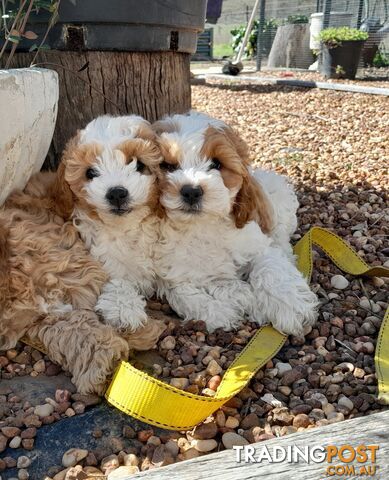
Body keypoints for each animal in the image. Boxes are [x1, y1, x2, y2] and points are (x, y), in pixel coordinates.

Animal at [54, 116, 162, 334]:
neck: (126, 227)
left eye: (138, 165)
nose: (117, 193)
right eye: (90, 172)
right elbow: (118, 278)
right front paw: (124, 308)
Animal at [152, 111, 318, 336]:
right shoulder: (171, 271)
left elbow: (269, 266)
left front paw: (290, 305)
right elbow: (183, 291)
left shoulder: (256, 243)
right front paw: (220, 310)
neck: (202, 225)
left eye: (216, 164)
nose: (191, 191)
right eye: (168, 166)